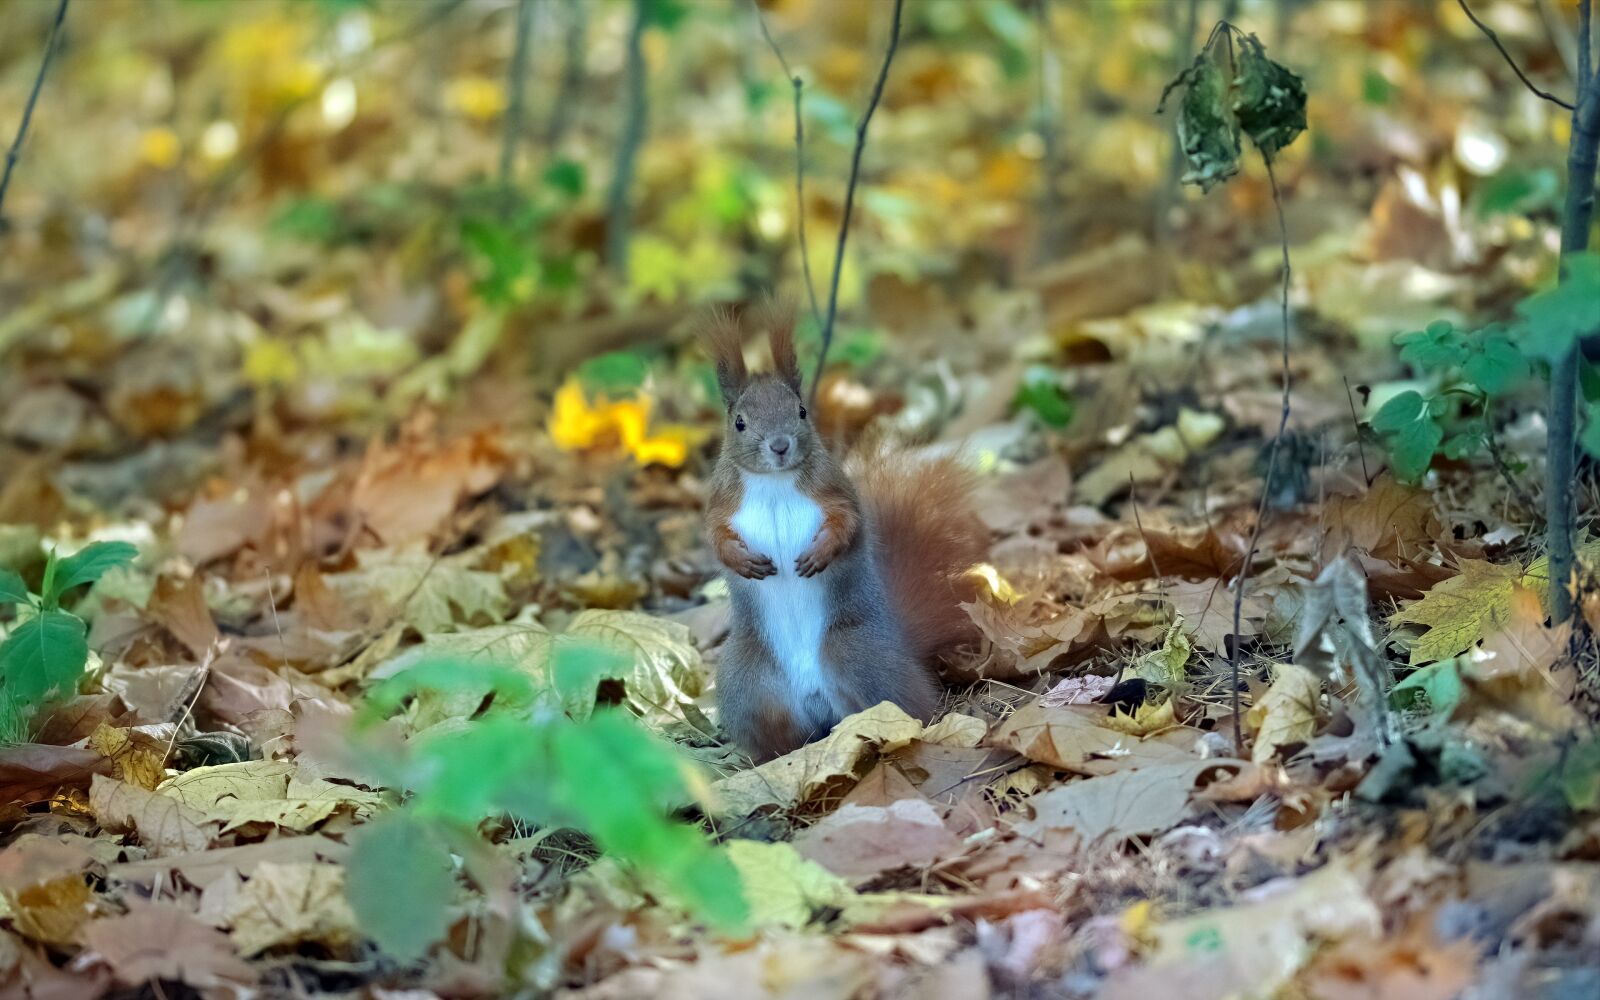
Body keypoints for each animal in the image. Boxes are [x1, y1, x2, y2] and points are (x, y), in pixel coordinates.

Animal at [702, 308, 988, 762]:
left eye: (802, 411)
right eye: (739, 422)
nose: (780, 445)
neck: (775, 482)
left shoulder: (835, 492)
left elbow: (848, 524)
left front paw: (821, 554)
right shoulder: (720, 504)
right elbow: (715, 537)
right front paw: (742, 562)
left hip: (857, 657)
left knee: (907, 707)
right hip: (748, 685)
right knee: (781, 733)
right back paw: (780, 756)